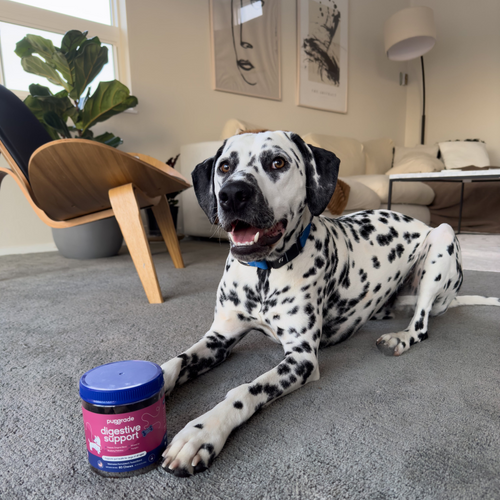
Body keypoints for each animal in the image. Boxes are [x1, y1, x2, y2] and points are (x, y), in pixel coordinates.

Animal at [160, 129, 500, 476]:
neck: (264, 275)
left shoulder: (302, 358)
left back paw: (400, 337)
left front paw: (202, 432)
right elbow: (172, 364)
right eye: (225, 167)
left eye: (277, 162)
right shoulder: (218, 338)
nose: (232, 194)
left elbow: (245, 390)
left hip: (442, 239)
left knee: (421, 324)